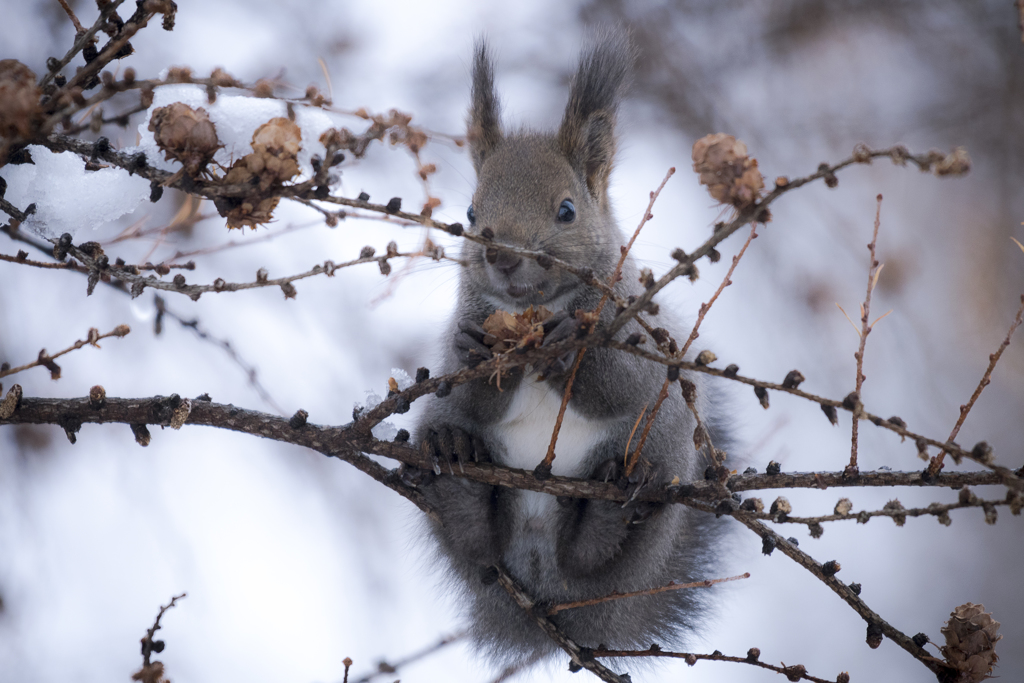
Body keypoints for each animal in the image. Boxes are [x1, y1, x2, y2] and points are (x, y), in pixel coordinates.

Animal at [407, 34, 729, 671]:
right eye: (471, 213)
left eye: (566, 211)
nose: (503, 257)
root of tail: (546, 589)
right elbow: (468, 382)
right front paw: (471, 356)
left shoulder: (637, 335)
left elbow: (621, 384)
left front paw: (566, 352)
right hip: (440, 438)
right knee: (478, 546)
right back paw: (458, 479)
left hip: (665, 451)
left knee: (594, 557)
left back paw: (610, 513)